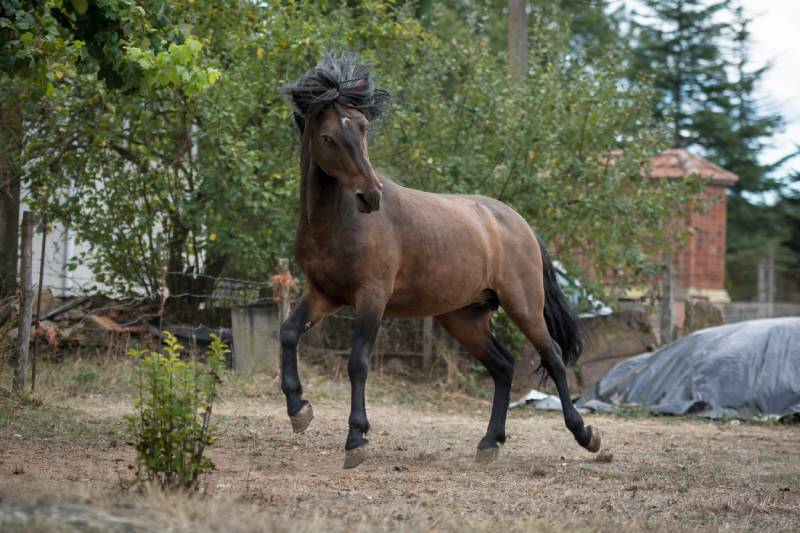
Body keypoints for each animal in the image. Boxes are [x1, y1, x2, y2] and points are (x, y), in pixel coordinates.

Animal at [280, 53, 602, 469]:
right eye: (327, 137)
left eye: (364, 127)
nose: (371, 196)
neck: (337, 221)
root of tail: (519, 223)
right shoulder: (323, 293)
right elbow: (288, 332)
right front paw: (298, 409)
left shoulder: (371, 297)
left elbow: (358, 363)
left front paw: (356, 439)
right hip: (464, 317)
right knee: (503, 366)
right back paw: (489, 443)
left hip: (524, 306)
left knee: (555, 358)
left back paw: (586, 435)